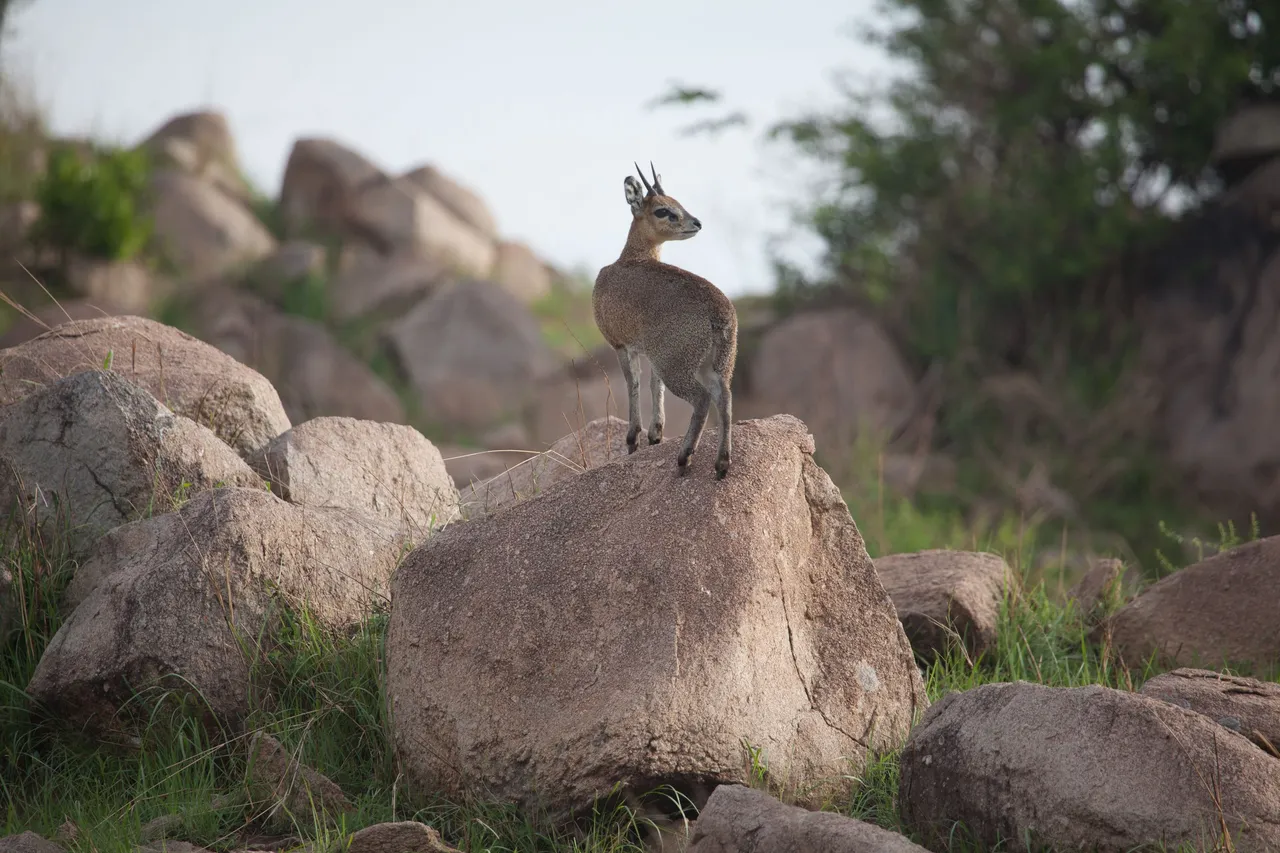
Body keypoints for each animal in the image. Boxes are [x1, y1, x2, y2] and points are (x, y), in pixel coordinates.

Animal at [591, 162, 742, 473]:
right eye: (663, 209)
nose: (696, 223)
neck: (629, 258)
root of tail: (719, 313)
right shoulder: (648, 353)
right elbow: (653, 385)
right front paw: (655, 435)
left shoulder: (622, 345)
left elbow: (633, 383)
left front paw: (633, 439)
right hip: (717, 364)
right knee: (725, 398)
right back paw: (721, 463)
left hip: (679, 365)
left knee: (702, 398)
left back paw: (685, 456)